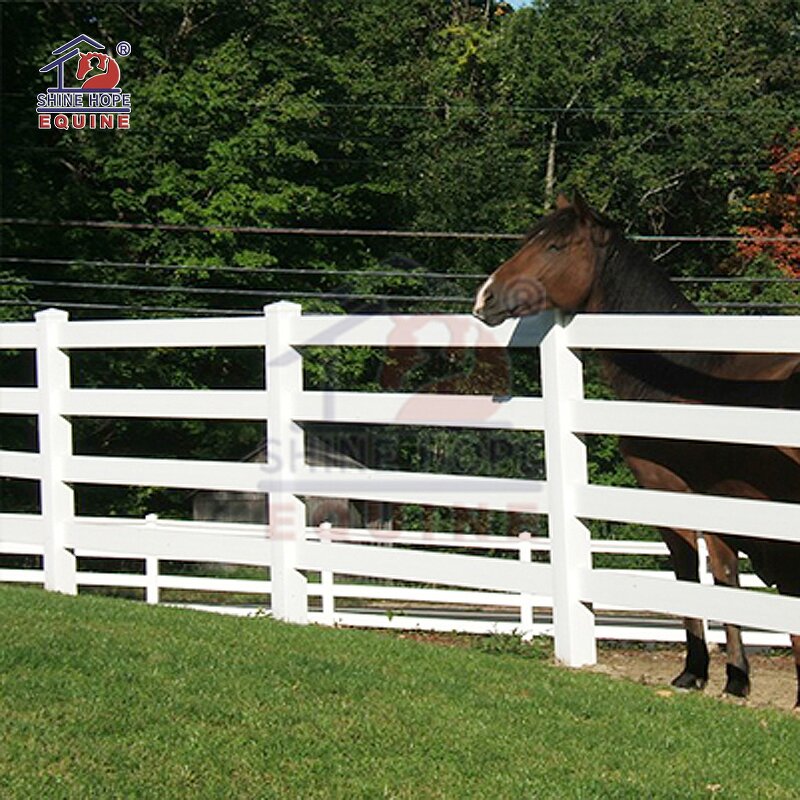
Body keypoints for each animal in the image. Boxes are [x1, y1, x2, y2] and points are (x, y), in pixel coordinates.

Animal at [472, 192, 800, 707]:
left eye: (555, 246)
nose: (485, 296)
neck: (680, 375)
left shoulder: (673, 493)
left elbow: (694, 574)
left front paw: (697, 671)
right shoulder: (722, 502)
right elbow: (725, 576)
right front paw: (735, 677)